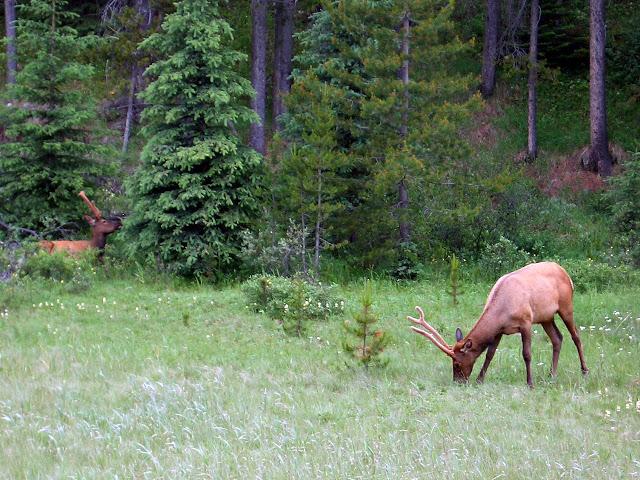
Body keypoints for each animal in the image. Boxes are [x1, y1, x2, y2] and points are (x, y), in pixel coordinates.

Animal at [410, 262, 592, 386]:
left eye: (457, 363)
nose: (458, 382)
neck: (502, 312)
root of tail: (566, 273)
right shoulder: (499, 330)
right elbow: (490, 354)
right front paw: (480, 380)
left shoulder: (526, 322)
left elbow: (527, 354)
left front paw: (530, 383)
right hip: (545, 317)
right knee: (557, 338)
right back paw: (551, 374)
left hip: (566, 307)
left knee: (576, 336)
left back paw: (584, 371)